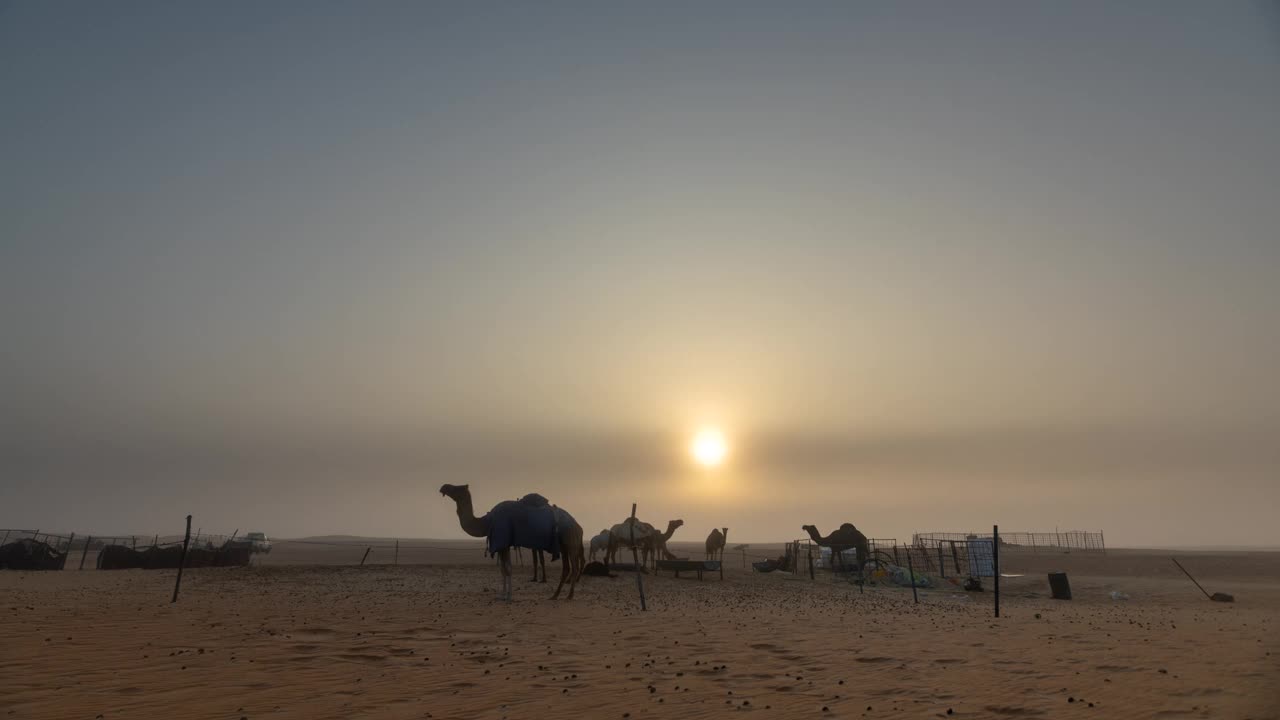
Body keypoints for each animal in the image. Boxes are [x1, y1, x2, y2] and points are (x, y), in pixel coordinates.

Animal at [437, 481, 583, 599]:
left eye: (457, 488)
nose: (443, 487)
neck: (488, 521)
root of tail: (576, 524)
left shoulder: (502, 540)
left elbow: (508, 568)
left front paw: (508, 596)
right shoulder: (503, 544)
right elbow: (503, 569)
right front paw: (502, 595)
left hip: (571, 541)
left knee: (574, 567)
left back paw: (569, 596)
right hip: (563, 545)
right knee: (566, 568)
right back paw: (555, 596)